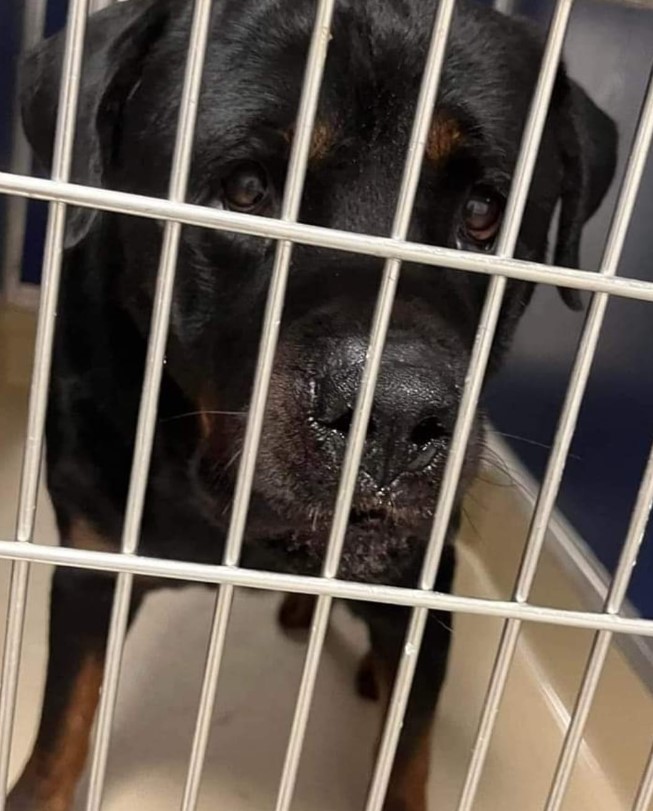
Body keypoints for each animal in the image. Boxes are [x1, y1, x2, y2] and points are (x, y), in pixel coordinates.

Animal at [8, 1, 616, 811]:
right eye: (245, 189)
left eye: (486, 212)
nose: (394, 413)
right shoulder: (91, 557)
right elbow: (61, 727)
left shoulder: (420, 588)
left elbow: (407, 750)